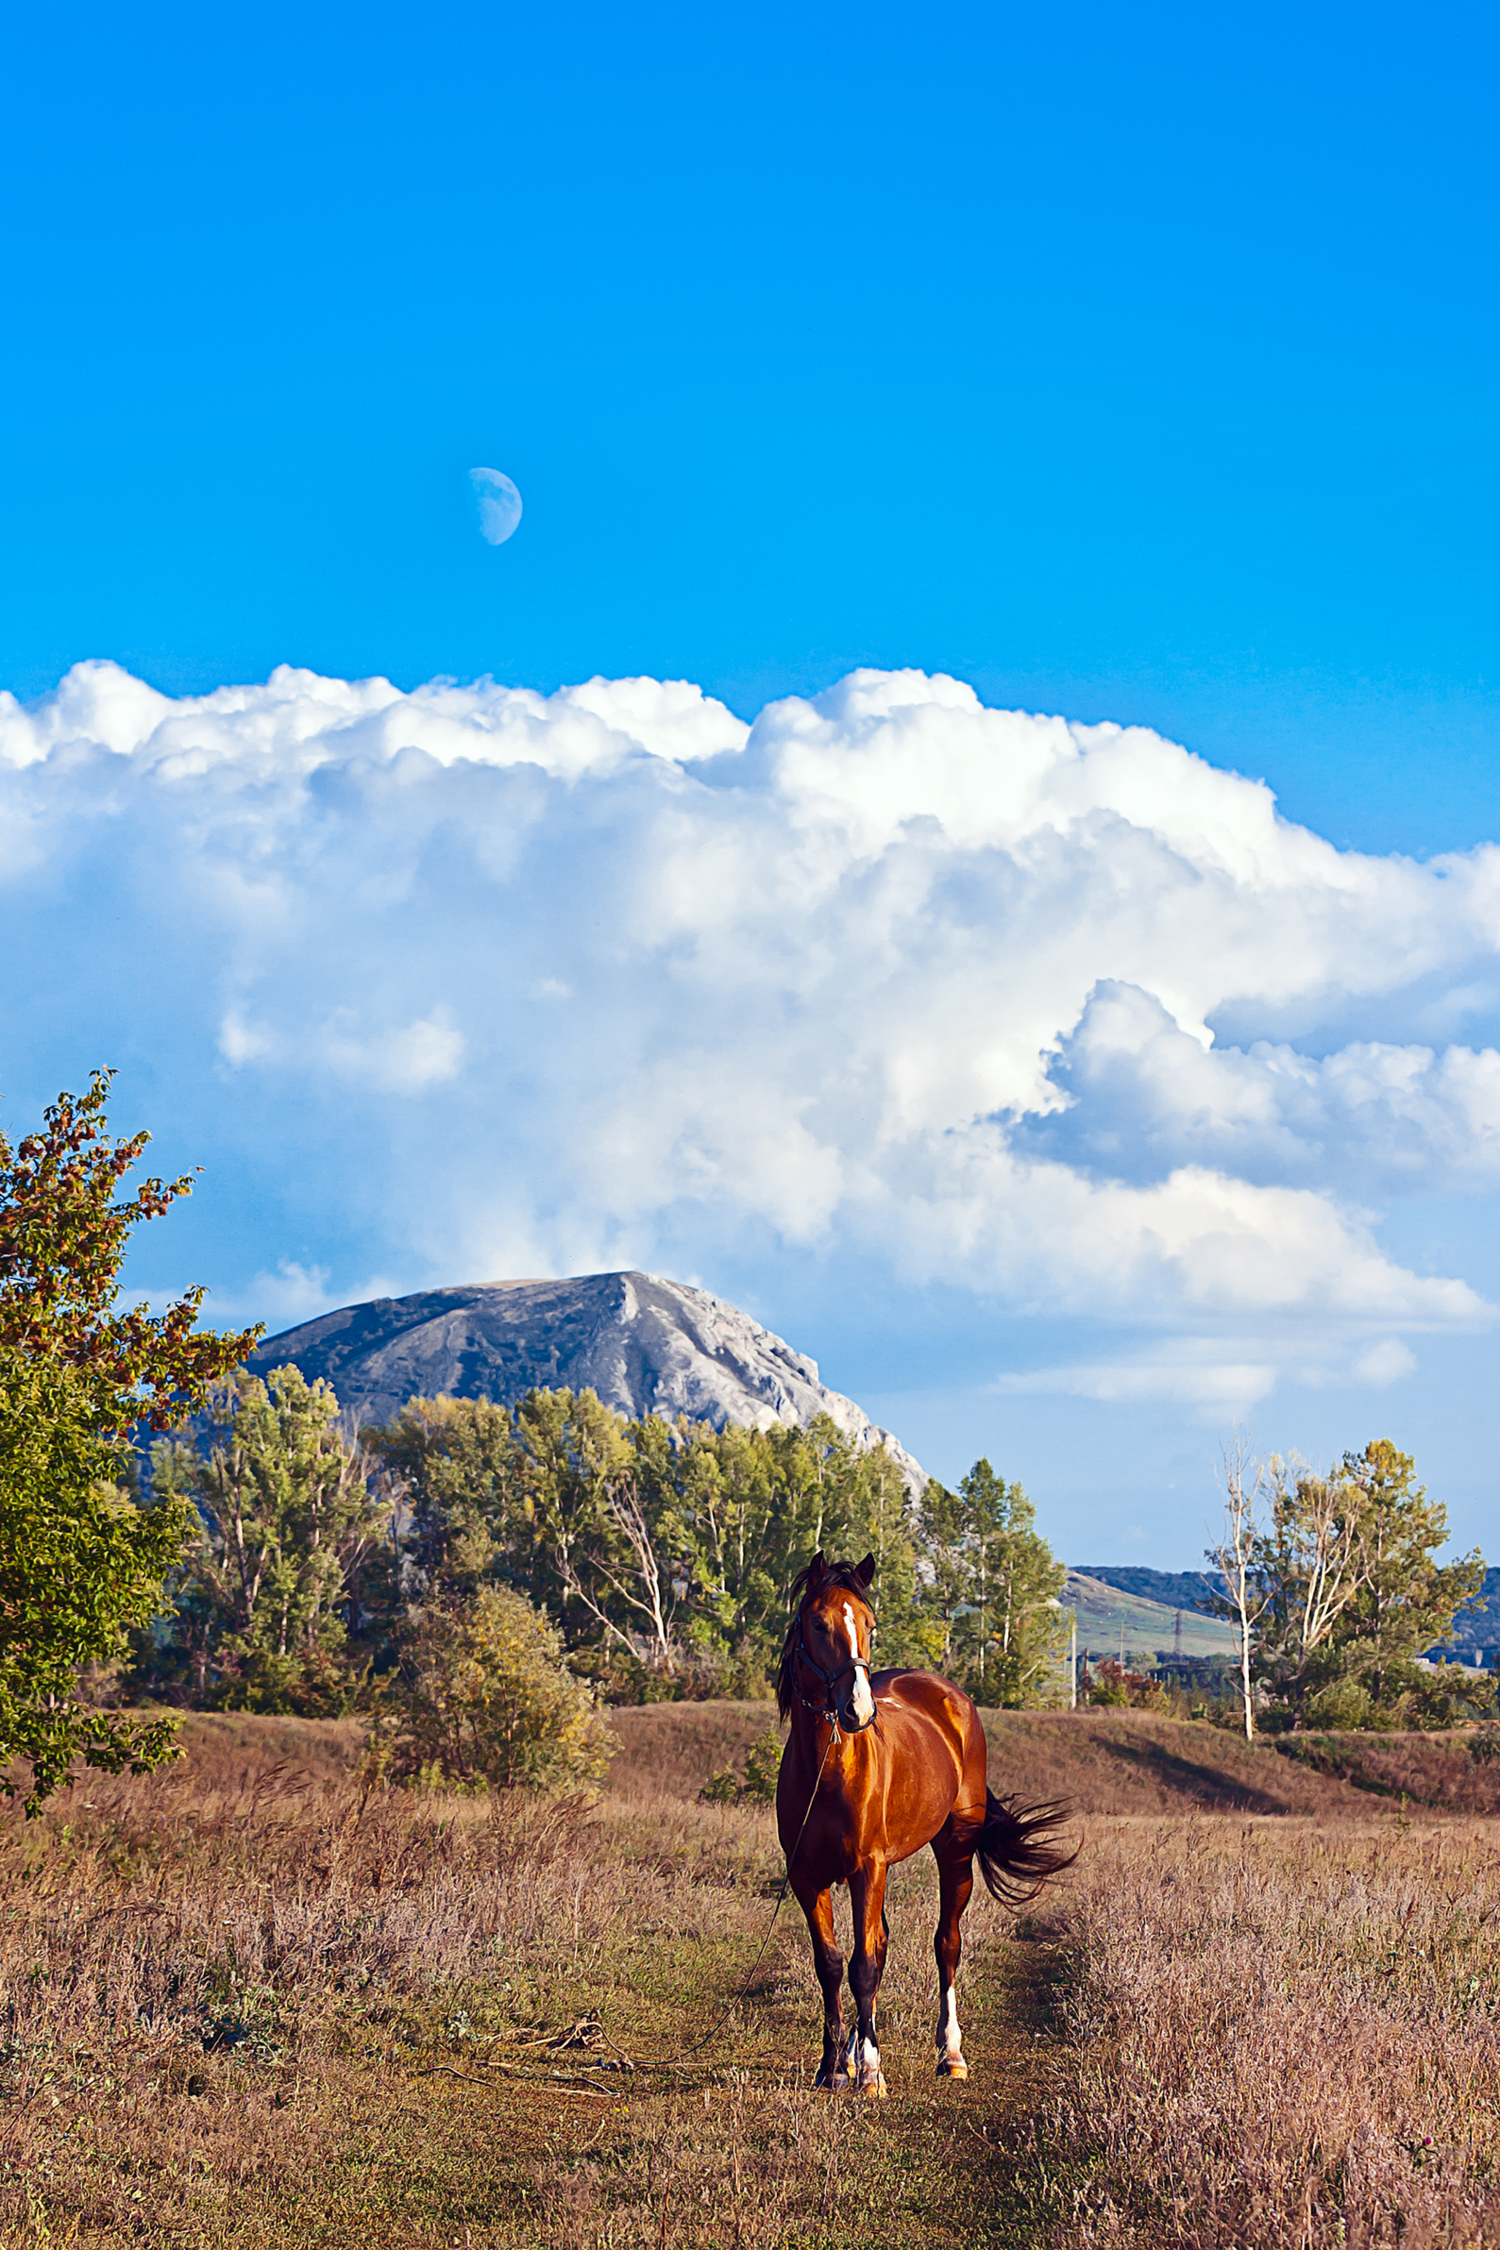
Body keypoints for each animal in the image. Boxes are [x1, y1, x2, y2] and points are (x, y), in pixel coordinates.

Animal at [773, 1548, 1079, 2088]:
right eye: (818, 1622)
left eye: (870, 1624)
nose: (857, 1711)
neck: (826, 1770)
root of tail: (947, 1693)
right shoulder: (808, 1877)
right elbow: (832, 1964)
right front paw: (833, 2066)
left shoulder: (867, 1868)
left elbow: (863, 1965)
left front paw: (871, 2073)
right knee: (878, 1945)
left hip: (954, 1851)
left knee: (945, 1943)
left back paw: (949, 2053)